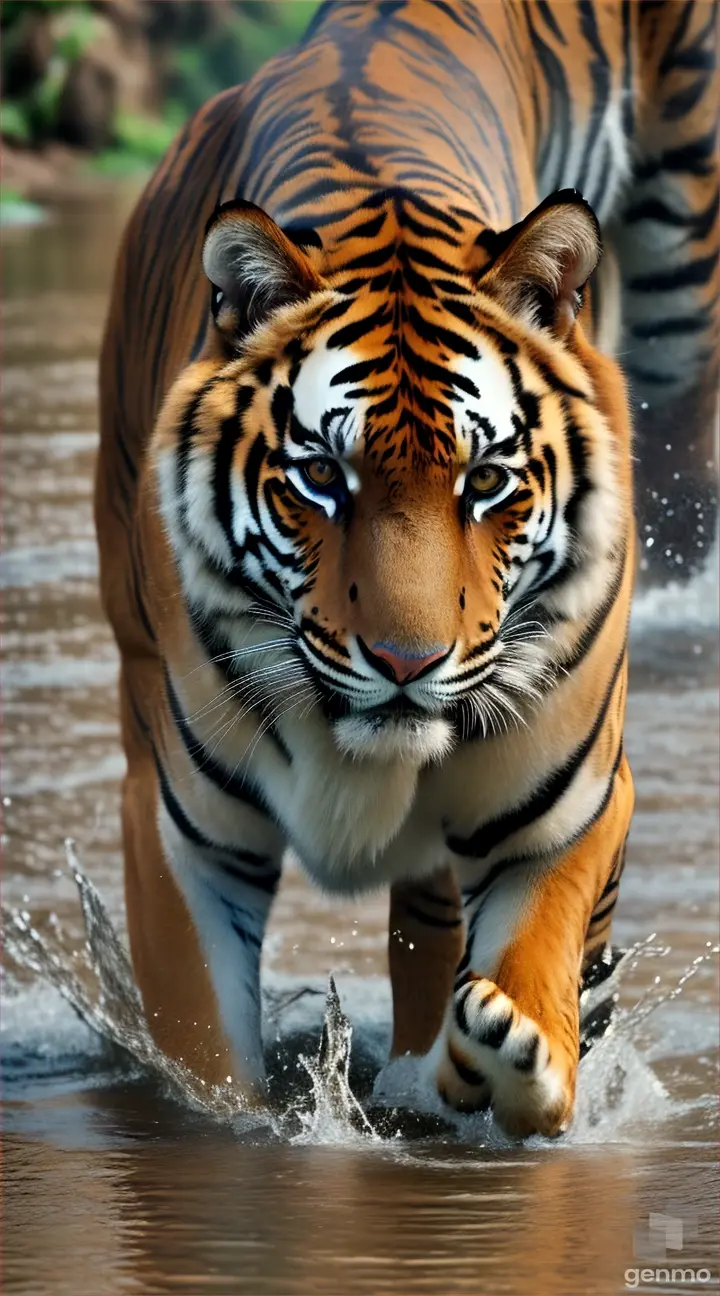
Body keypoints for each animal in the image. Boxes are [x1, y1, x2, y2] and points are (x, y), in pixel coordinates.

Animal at [94, 2, 714, 1135]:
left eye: (487, 481)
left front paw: (513, 1054)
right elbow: (205, 1050)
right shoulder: (181, 829)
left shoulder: (570, 802)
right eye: (320, 478)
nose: (405, 663)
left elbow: (539, 950)